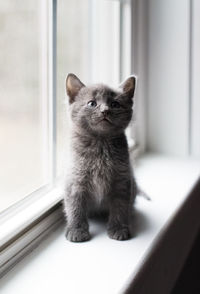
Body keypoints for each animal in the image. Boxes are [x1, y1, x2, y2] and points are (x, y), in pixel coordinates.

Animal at [64, 73, 138, 241]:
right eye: (92, 103)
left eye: (115, 104)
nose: (105, 110)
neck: (100, 143)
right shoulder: (75, 180)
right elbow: (75, 206)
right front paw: (77, 230)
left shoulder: (122, 179)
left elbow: (120, 206)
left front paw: (118, 228)